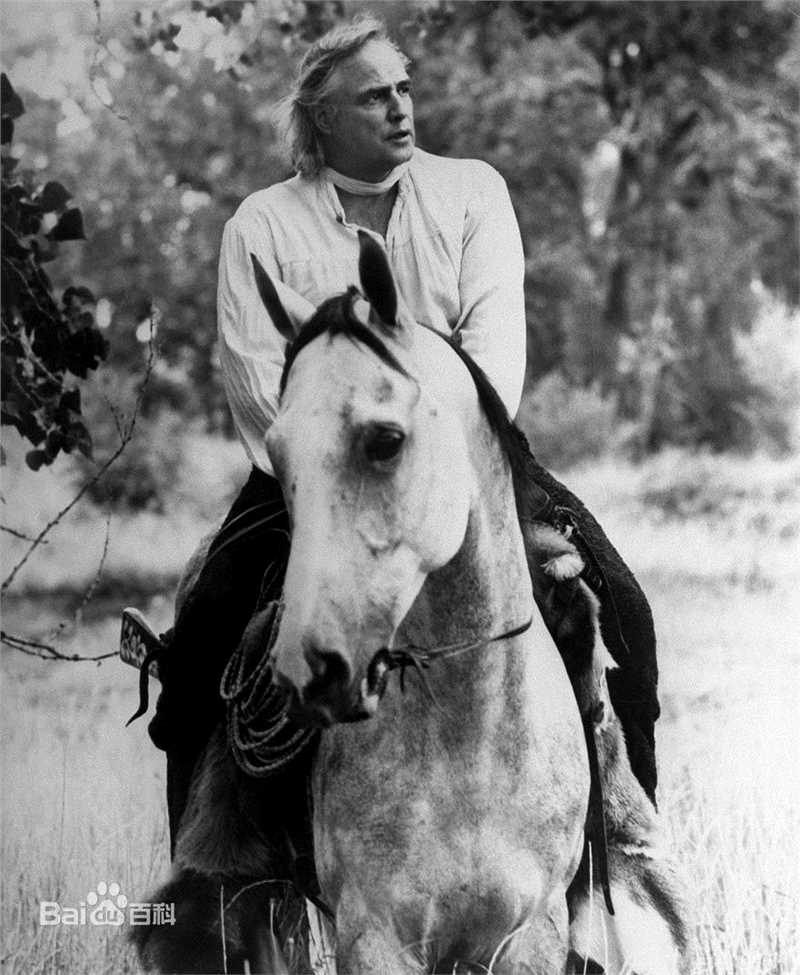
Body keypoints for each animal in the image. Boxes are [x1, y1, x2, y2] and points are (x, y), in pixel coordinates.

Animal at [249, 230, 591, 974]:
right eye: (277, 454)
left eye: (385, 439)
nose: (307, 670)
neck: (471, 741)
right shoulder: (374, 935)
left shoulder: (531, 933)